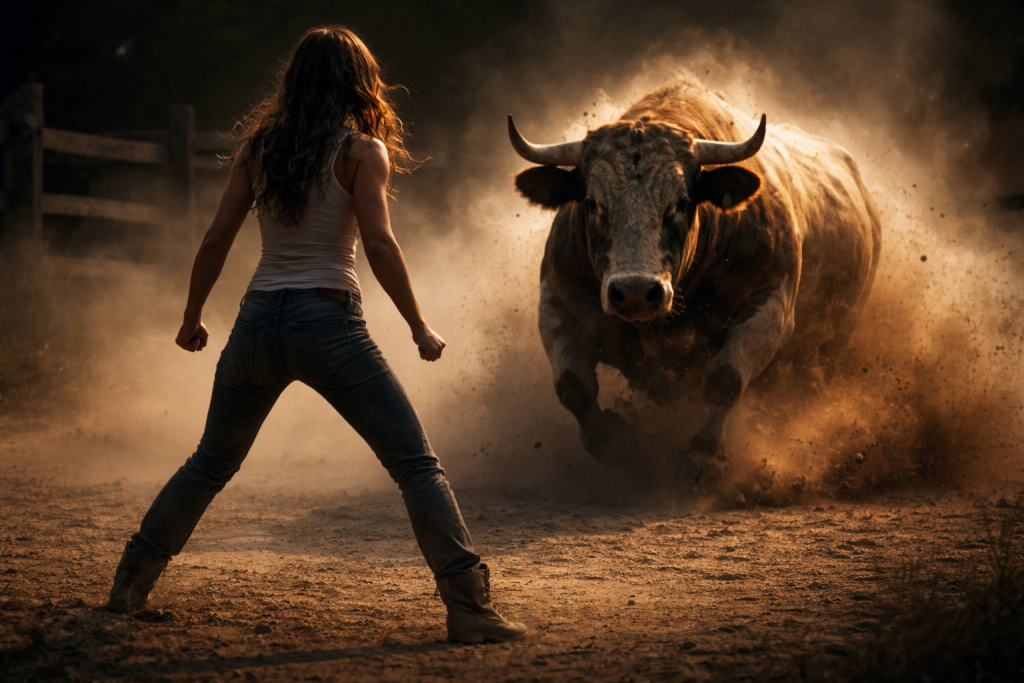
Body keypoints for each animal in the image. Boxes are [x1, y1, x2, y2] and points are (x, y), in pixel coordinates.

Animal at [509, 73, 881, 492]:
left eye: (682, 202)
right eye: (592, 203)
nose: (635, 293)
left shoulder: (768, 309)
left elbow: (724, 378)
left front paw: (703, 460)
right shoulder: (557, 305)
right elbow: (573, 386)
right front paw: (617, 446)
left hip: (829, 346)